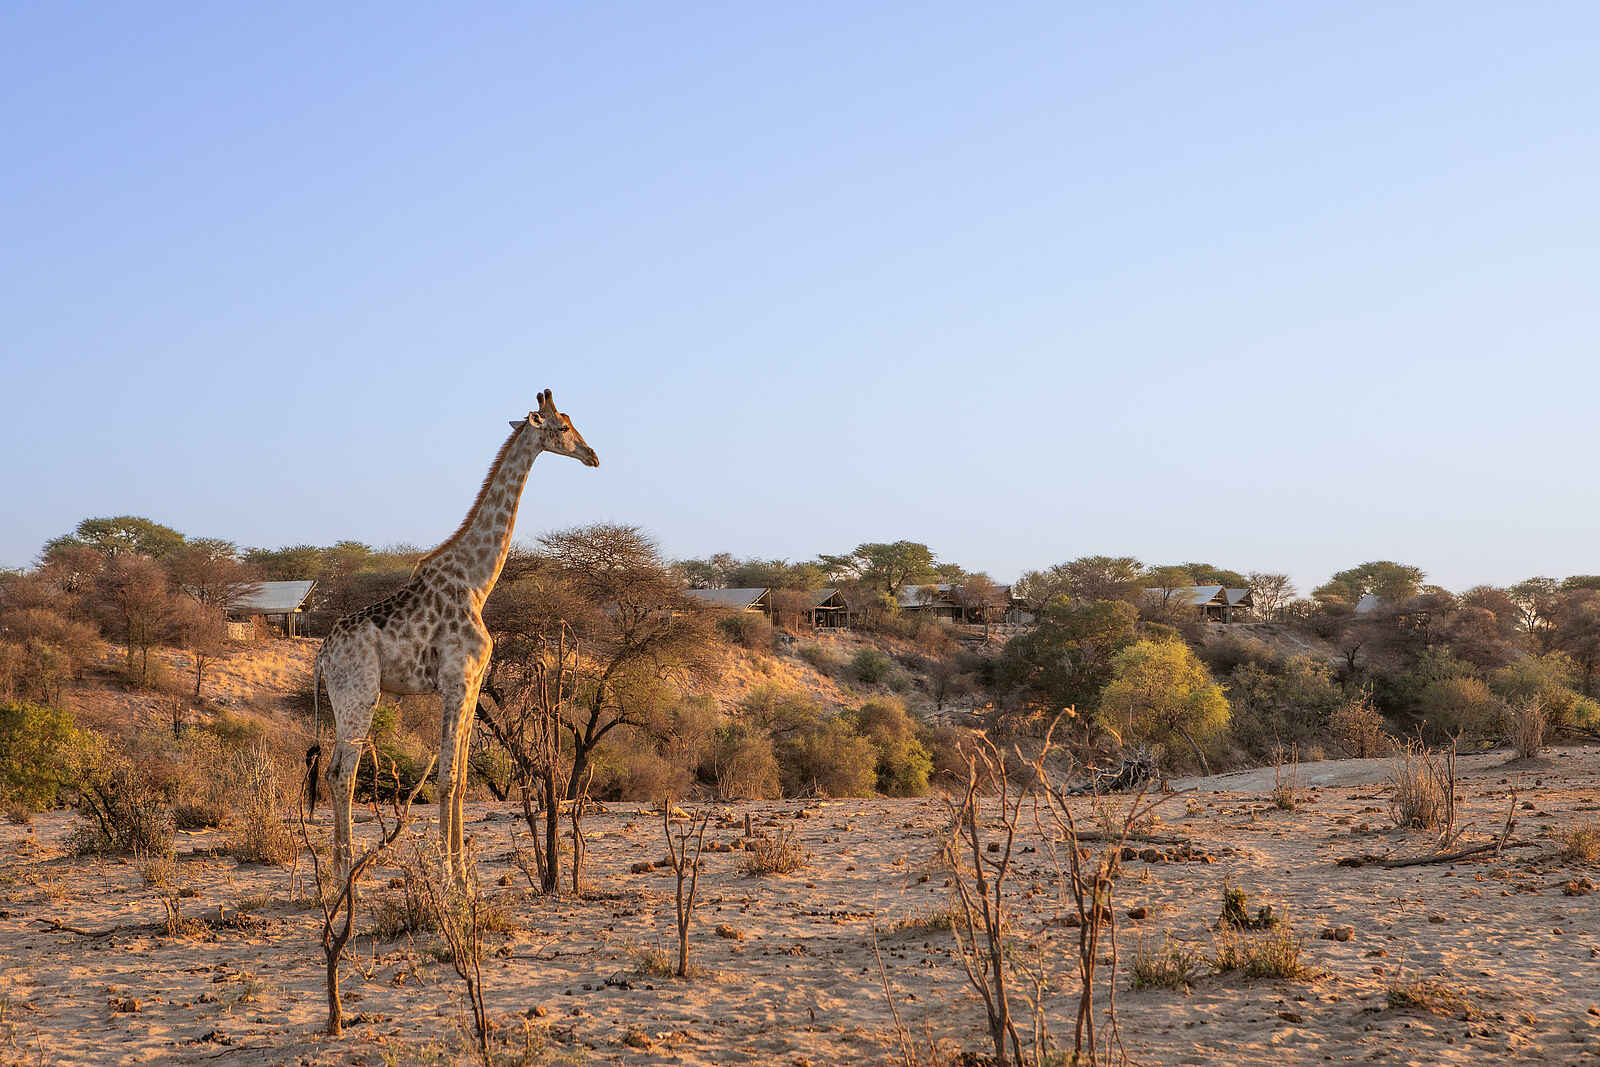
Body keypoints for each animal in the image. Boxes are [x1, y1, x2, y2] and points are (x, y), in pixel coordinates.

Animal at [309, 389, 598, 882]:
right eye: (563, 427)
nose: (593, 455)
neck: (478, 582)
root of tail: (323, 654)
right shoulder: (455, 681)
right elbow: (446, 778)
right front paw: (447, 875)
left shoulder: (475, 683)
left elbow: (461, 778)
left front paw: (464, 875)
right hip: (359, 694)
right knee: (342, 774)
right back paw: (344, 879)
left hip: (344, 698)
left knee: (333, 772)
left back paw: (338, 879)